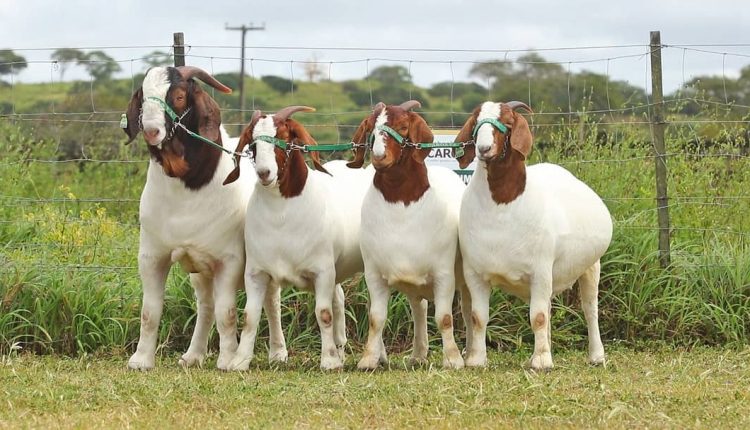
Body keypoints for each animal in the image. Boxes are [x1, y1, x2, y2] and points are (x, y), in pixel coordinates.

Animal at [122, 66, 284, 370]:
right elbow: (150, 311)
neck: (189, 186)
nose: (151, 130)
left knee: (271, 301)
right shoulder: (152, 255)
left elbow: (227, 313)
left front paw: (228, 358)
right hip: (200, 270)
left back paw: (278, 353)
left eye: (179, 96)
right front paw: (141, 359)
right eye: (143, 95)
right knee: (205, 305)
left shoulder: (229, 261)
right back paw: (194, 354)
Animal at [223, 106, 376, 372]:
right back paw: (340, 350)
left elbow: (323, 313)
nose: (264, 173)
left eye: (285, 139)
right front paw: (240, 361)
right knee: (338, 300)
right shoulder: (256, 272)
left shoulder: (322, 271)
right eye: (252, 144)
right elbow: (250, 316)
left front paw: (328, 361)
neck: (282, 214)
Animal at [348, 100, 470, 370]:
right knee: (419, 308)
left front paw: (453, 358)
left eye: (403, 126)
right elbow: (376, 318)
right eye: (370, 127)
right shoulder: (374, 273)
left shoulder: (444, 273)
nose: (379, 156)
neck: (402, 204)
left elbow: (444, 317)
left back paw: (470, 352)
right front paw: (368, 359)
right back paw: (418, 354)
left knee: (469, 309)